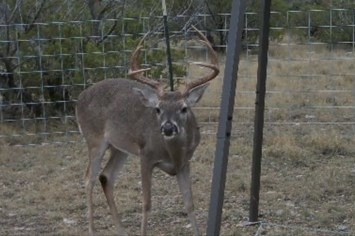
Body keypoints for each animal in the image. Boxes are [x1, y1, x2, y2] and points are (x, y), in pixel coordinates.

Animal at [75, 25, 220, 236]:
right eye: (158, 109)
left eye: (184, 108)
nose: (168, 127)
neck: (172, 153)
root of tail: (79, 97)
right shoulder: (146, 156)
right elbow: (146, 203)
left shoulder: (185, 163)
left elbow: (189, 204)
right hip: (94, 139)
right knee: (89, 178)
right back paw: (92, 230)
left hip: (119, 147)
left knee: (106, 176)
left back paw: (121, 230)